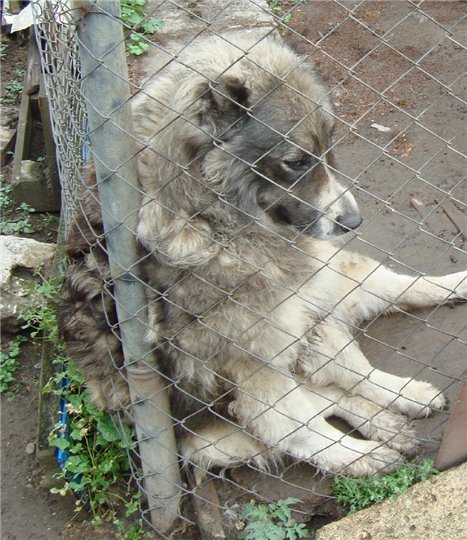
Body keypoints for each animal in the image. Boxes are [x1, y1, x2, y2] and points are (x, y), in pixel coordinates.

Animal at [59, 32, 467, 478]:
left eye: (327, 150)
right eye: (295, 162)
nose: (353, 221)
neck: (212, 220)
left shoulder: (305, 310)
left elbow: (355, 362)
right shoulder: (256, 365)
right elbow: (302, 431)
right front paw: (356, 455)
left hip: (321, 296)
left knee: (363, 343)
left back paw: (407, 389)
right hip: (216, 425)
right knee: (322, 401)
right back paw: (376, 436)